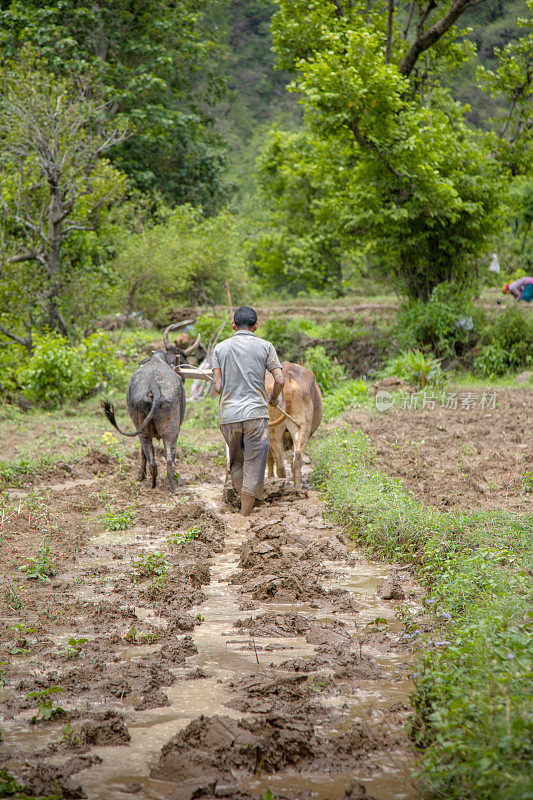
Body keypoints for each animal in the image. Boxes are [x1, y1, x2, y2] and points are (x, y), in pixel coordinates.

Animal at [101, 322, 201, 490]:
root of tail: (154, 387)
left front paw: (140, 476)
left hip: (145, 432)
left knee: (153, 460)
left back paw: (154, 484)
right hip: (170, 432)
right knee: (168, 460)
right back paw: (171, 485)